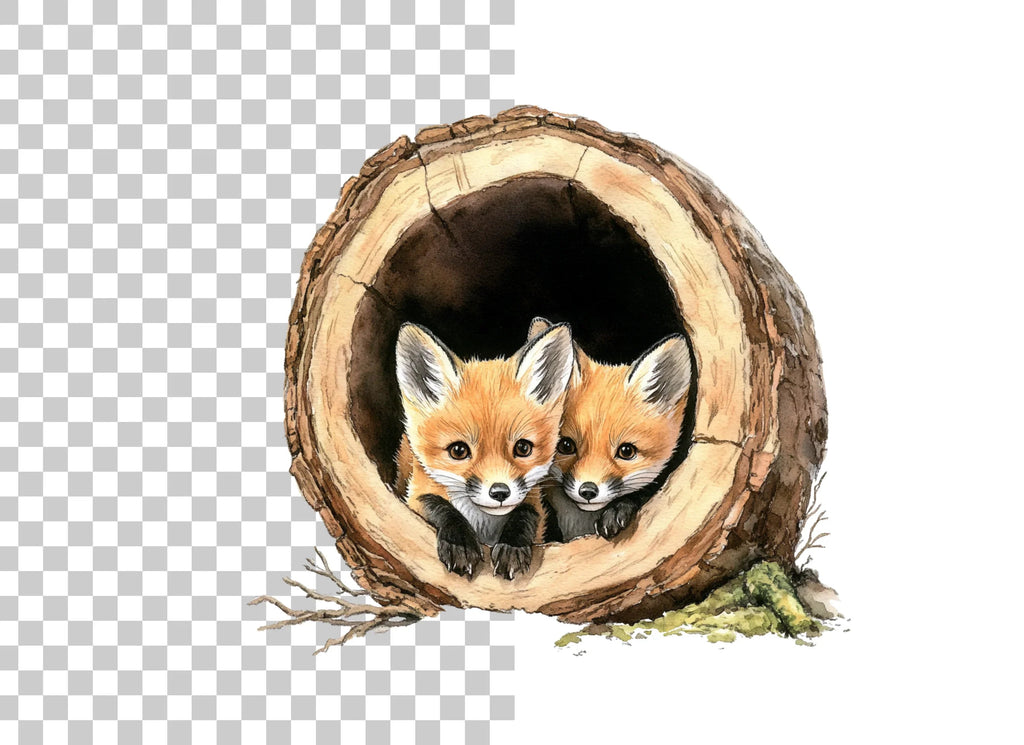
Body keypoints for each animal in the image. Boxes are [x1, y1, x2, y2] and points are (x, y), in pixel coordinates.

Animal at [393, 321, 575, 579]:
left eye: (523, 448)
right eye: (458, 451)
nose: (499, 492)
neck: (483, 523)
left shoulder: (533, 502)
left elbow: (525, 514)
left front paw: (511, 547)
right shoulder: (416, 493)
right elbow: (439, 506)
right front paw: (460, 544)